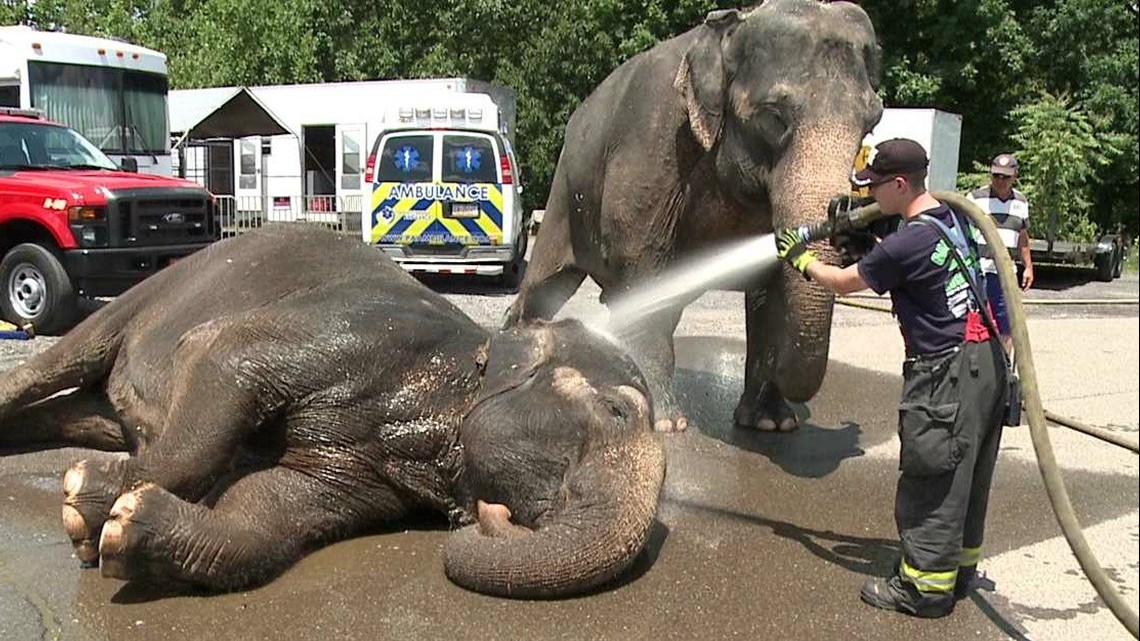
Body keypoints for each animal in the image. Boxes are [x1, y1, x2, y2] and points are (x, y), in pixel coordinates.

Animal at [0, 224, 665, 598]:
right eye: (616, 411)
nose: (489, 516)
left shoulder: (364, 480)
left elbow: (269, 513)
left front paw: (122, 524)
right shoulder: (348, 332)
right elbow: (219, 359)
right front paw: (86, 501)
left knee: (77, 411)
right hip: (154, 290)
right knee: (61, 359)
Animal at [505, 0, 884, 432]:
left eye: (872, 123)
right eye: (773, 117)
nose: (842, 213)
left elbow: (771, 289)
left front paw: (771, 424)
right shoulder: (653, 144)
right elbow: (642, 260)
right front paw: (668, 425)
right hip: (565, 194)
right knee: (545, 285)